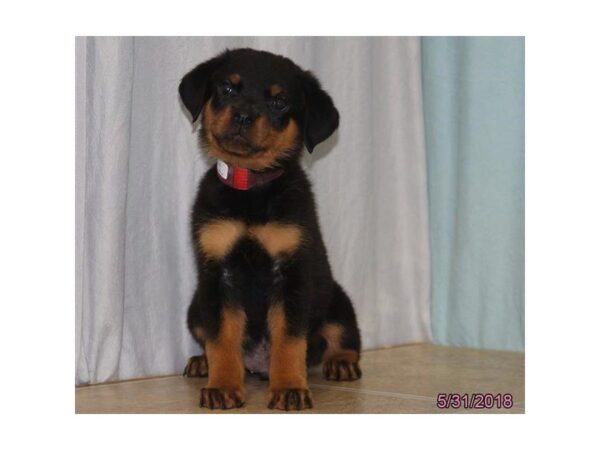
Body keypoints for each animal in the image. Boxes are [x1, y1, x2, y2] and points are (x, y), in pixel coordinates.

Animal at [178, 47, 360, 410]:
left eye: (279, 101)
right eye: (227, 88)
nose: (244, 116)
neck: (250, 186)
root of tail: (258, 366)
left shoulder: (291, 273)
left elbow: (288, 340)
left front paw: (289, 388)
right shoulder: (218, 275)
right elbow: (221, 339)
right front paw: (222, 386)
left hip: (336, 299)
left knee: (342, 335)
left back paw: (342, 363)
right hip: (195, 307)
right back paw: (202, 362)